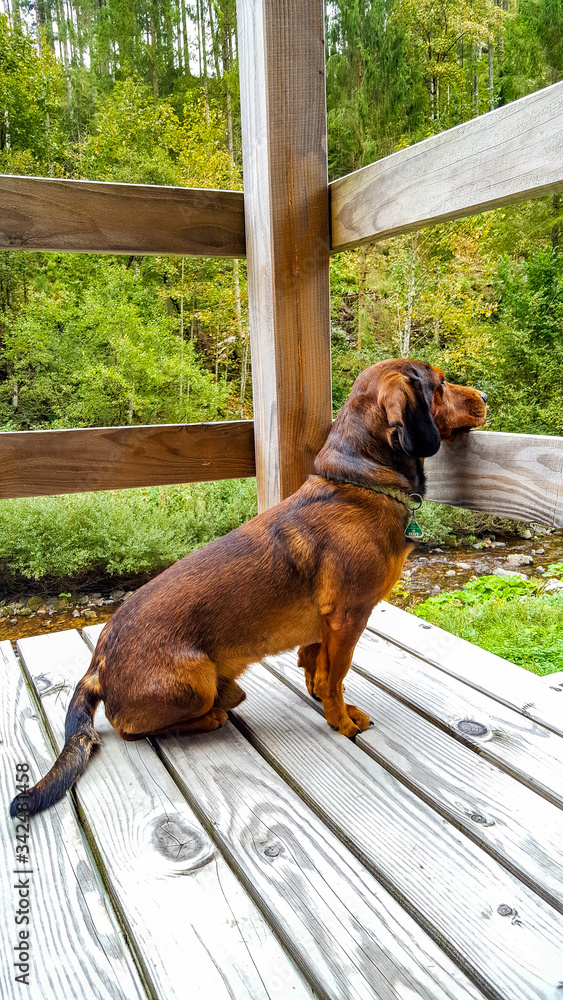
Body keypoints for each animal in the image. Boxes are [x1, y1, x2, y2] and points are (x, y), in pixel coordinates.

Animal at [11, 364, 490, 816]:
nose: (484, 396)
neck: (357, 483)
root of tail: (98, 664)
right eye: (440, 384)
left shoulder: (325, 624)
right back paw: (212, 715)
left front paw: (320, 694)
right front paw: (341, 719)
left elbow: (317, 666)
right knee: (131, 728)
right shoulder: (348, 617)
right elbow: (336, 676)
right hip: (195, 680)